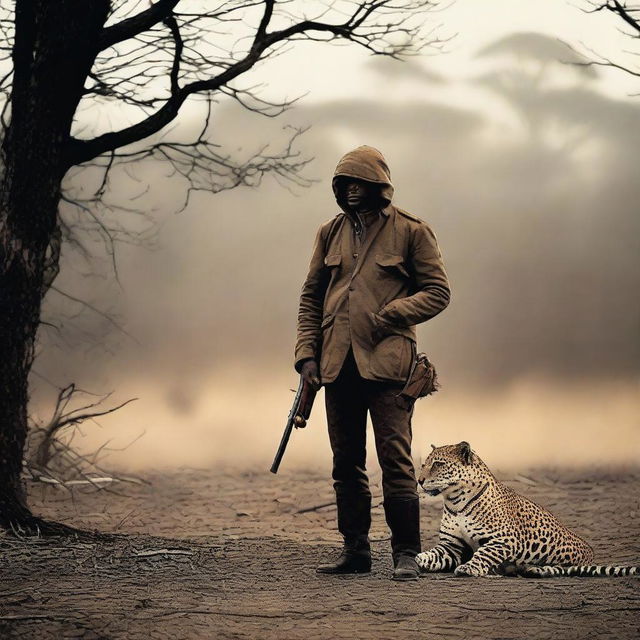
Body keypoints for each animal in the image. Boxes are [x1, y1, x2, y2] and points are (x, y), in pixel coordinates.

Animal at [418, 442, 636, 576]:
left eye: (438, 464)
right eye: (423, 464)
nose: (419, 480)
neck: (455, 502)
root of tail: (590, 554)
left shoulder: (505, 539)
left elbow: (484, 553)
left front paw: (469, 568)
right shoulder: (452, 546)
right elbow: (433, 554)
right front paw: (418, 559)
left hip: (567, 561)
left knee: (561, 569)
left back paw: (535, 570)